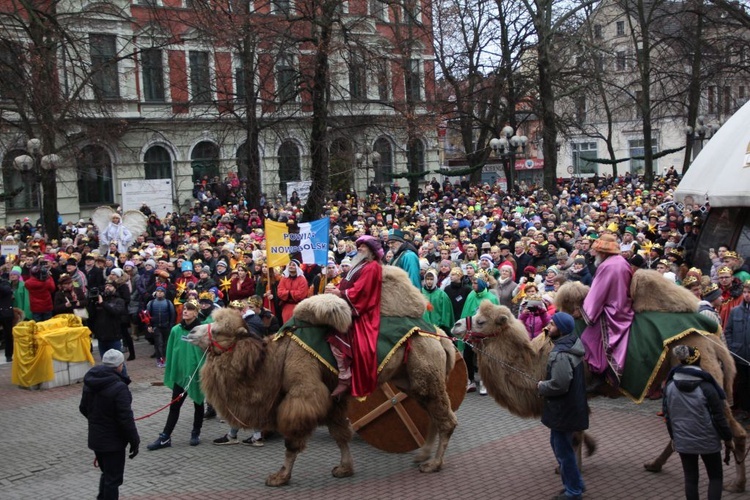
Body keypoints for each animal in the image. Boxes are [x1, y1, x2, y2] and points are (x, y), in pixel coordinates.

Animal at [188, 268, 458, 486]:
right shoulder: (332, 397)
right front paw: (345, 468)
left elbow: (293, 439)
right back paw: (423, 455)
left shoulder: (304, 391)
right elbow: (340, 433)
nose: (191, 331)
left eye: (220, 331)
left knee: (446, 420)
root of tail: (441, 337)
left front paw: (280, 477)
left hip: (426, 372)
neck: (278, 356)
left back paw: (434, 464)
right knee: (433, 413)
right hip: (410, 379)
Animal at [450, 272, 748, 490]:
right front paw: (582, 457)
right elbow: (579, 431)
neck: (537, 359)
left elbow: (574, 435)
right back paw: (654, 464)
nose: (455, 325)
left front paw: (572, 470)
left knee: (736, 432)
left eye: (481, 321)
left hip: (707, 378)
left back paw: (736, 484)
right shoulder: (579, 396)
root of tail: (712, 337)